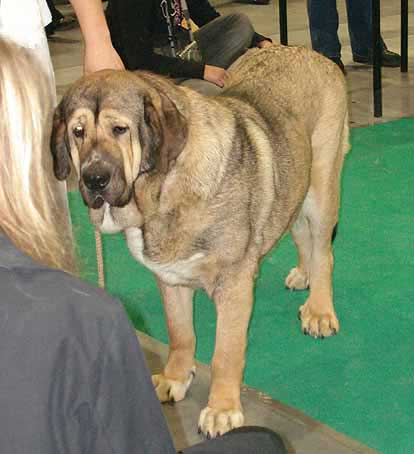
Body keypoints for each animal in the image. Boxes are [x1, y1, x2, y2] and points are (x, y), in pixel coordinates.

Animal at [51, 45, 350, 436]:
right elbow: (180, 334)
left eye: (120, 130)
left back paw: (320, 309)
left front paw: (222, 409)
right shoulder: (169, 278)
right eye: (78, 132)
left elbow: (225, 353)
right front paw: (175, 378)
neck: (164, 189)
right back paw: (304, 273)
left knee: (323, 250)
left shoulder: (233, 285)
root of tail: (306, 51)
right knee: (298, 230)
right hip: (295, 181)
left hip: (321, 184)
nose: (94, 179)